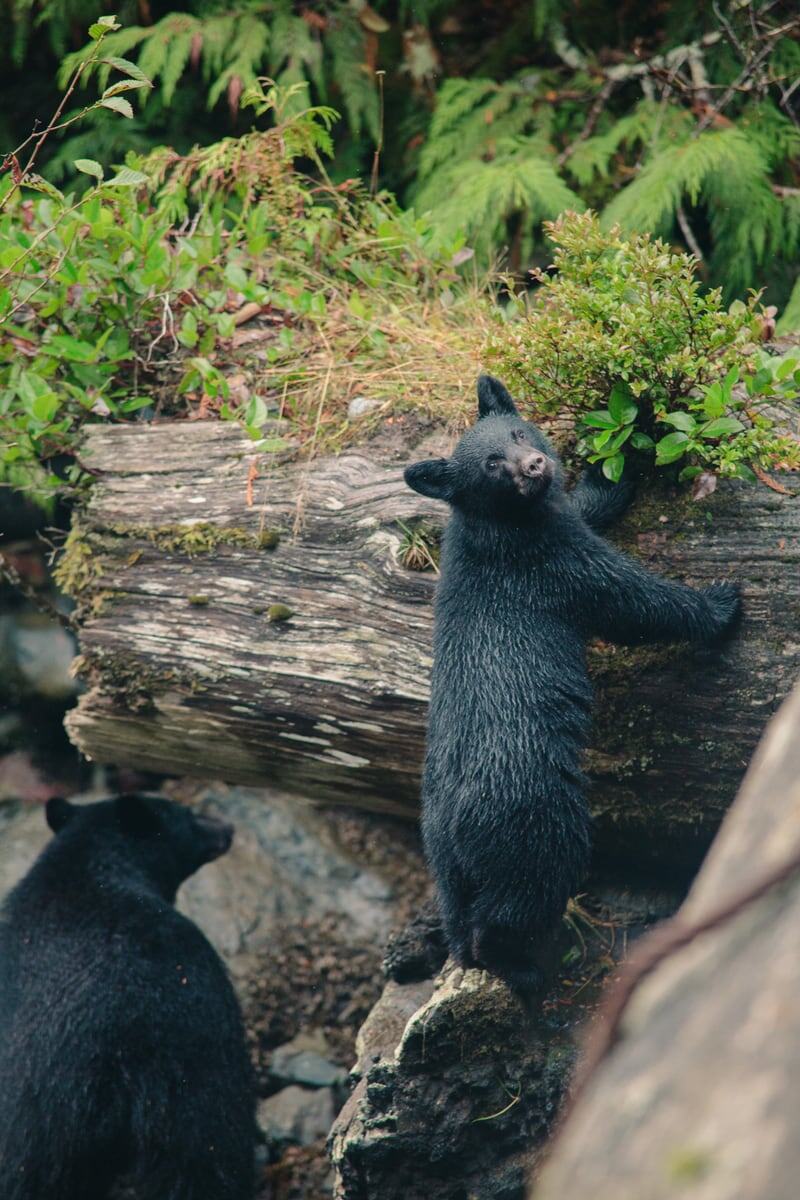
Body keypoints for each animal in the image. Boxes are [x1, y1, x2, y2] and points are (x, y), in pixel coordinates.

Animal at [404, 374, 741, 989]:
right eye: (491, 464)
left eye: (517, 433)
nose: (536, 464)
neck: (501, 525)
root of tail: (457, 828)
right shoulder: (549, 563)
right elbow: (629, 600)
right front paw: (720, 604)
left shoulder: (556, 525)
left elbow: (587, 507)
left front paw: (624, 454)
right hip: (537, 818)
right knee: (524, 895)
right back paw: (526, 968)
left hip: (442, 855)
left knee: (460, 914)